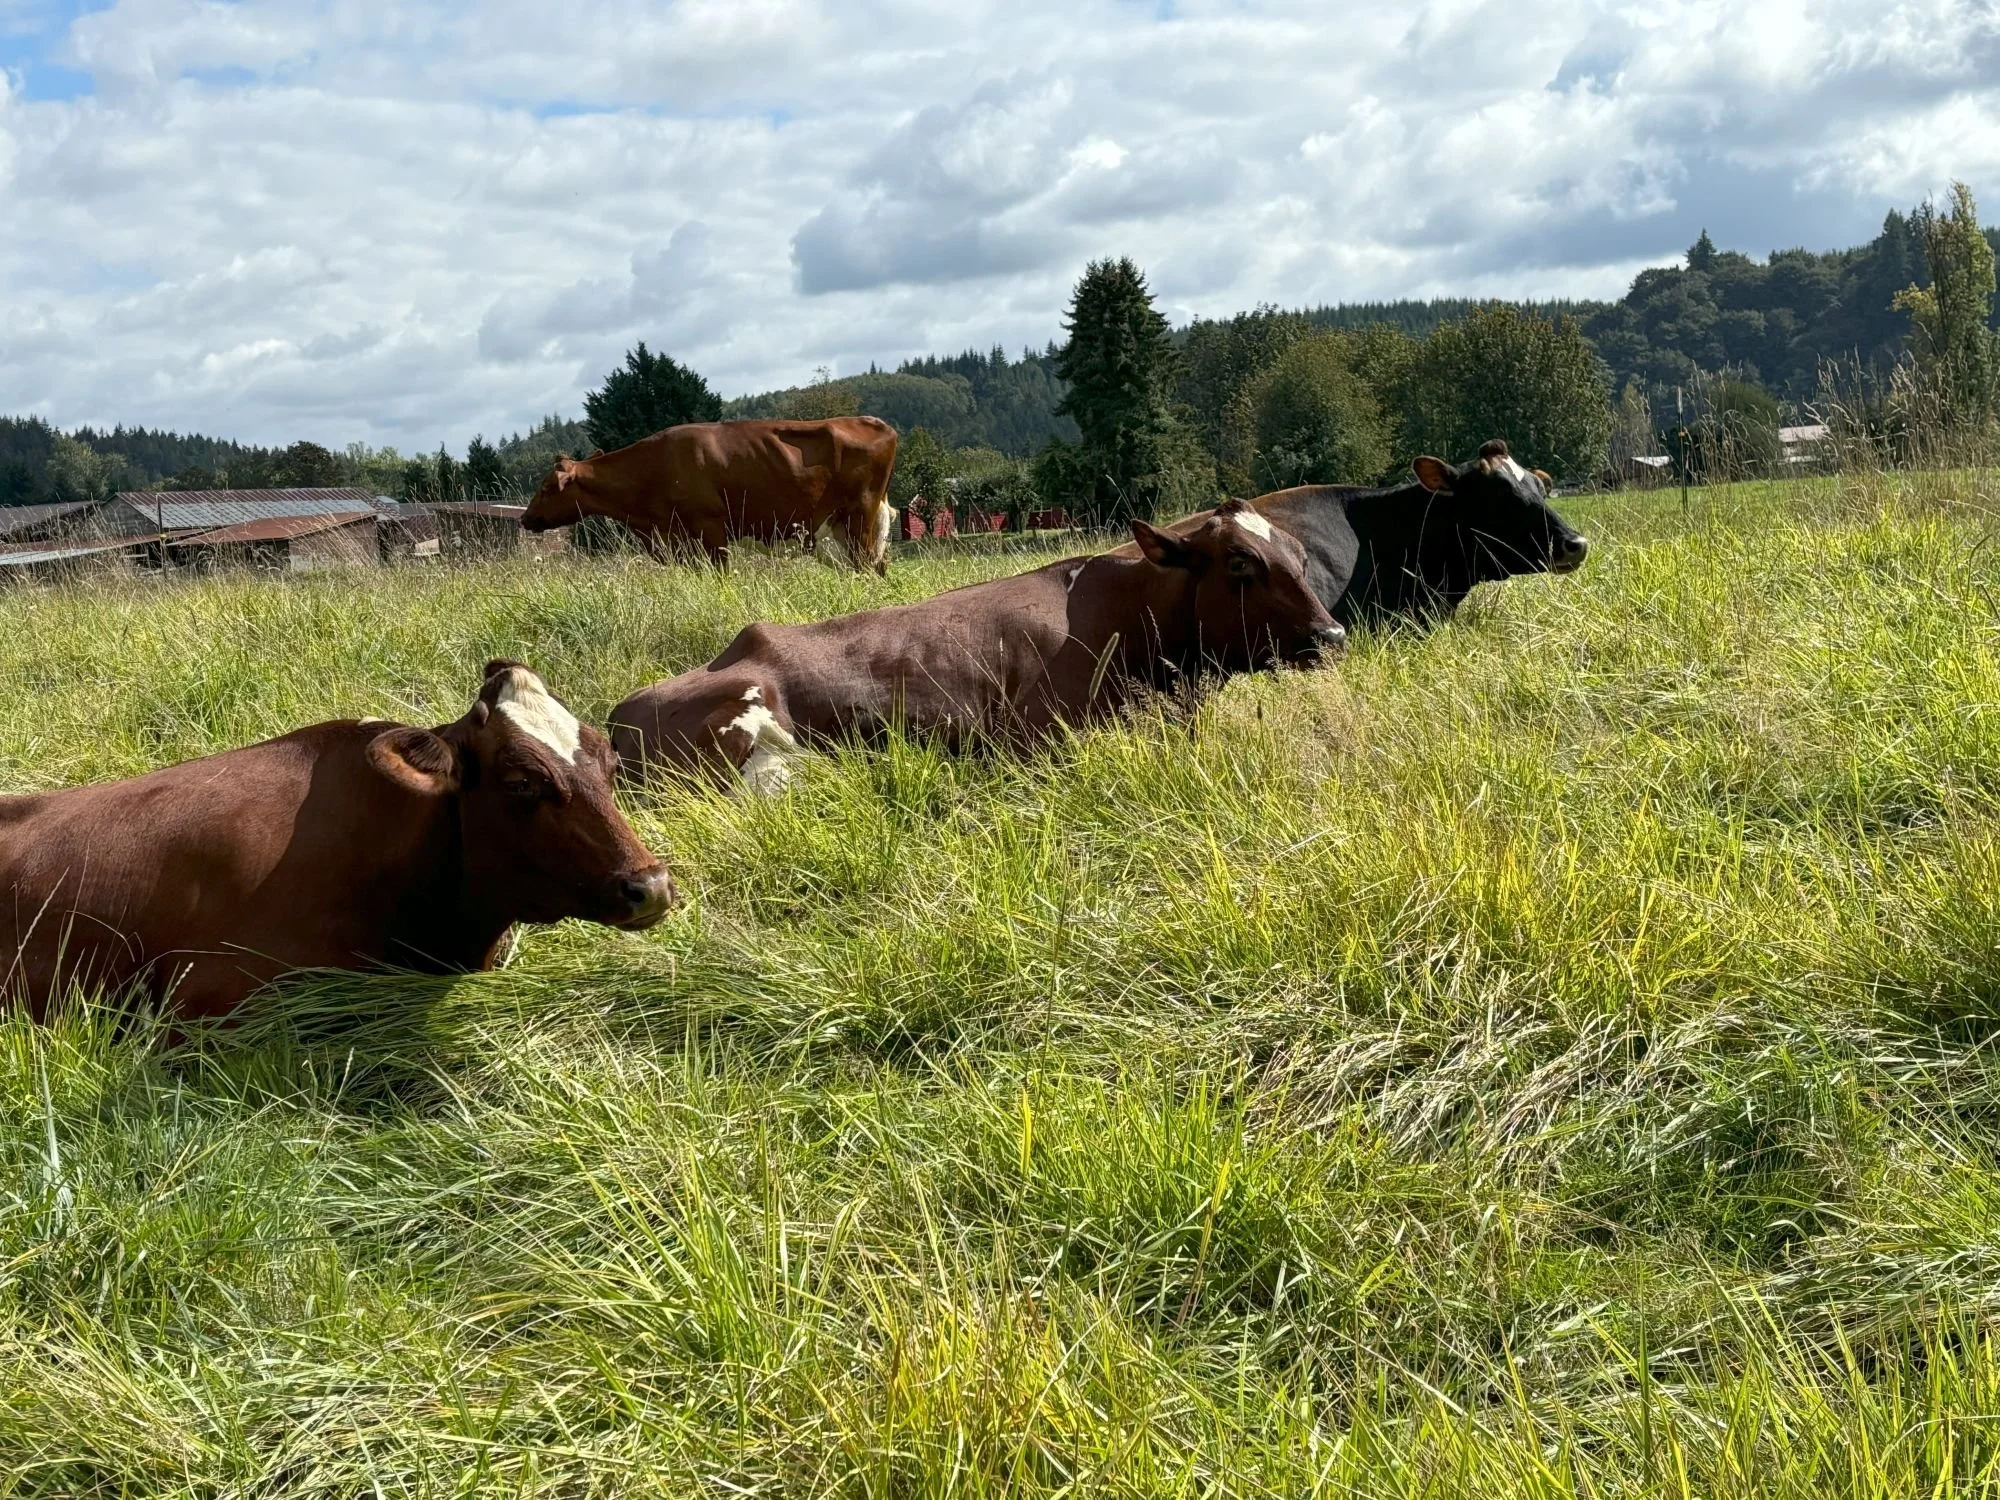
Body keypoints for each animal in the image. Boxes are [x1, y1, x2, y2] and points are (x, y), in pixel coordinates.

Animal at [520, 416, 899, 575]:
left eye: (546, 488)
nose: (525, 518)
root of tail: (872, 421)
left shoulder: (710, 529)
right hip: (841, 530)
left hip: (859, 520)